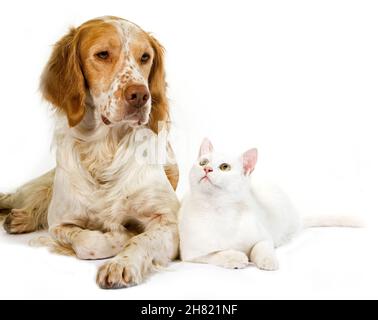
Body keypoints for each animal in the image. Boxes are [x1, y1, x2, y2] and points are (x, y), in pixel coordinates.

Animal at [0, 16, 180, 288]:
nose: (141, 95)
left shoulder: (169, 222)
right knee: (21, 196)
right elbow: (89, 241)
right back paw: (18, 216)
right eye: (102, 54)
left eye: (145, 57)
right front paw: (119, 234)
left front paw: (122, 264)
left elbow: (141, 239)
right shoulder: (60, 222)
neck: (105, 148)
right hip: (40, 186)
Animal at [177, 138, 360, 270]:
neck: (219, 210)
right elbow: (217, 253)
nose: (206, 169)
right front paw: (236, 257)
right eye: (203, 162)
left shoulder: (264, 237)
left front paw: (267, 260)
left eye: (224, 167)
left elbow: (261, 247)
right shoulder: (192, 254)